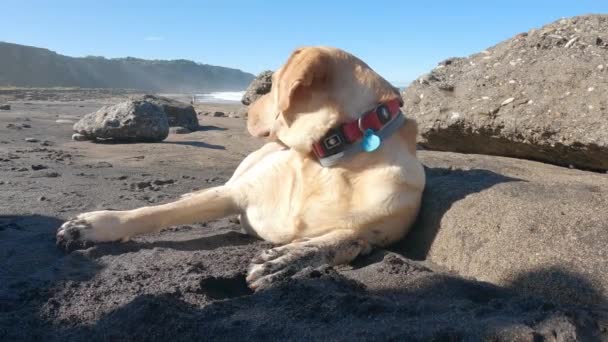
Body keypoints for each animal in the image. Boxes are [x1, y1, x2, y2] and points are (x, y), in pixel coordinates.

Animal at [58, 46, 428, 290]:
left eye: (271, 84)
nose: (246, 108)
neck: (331, 160)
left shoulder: (379, 228)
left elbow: (343, 240)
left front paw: (288, 260)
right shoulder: (239, 193)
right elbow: (155, 213)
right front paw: (91, 225)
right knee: (207, 191)